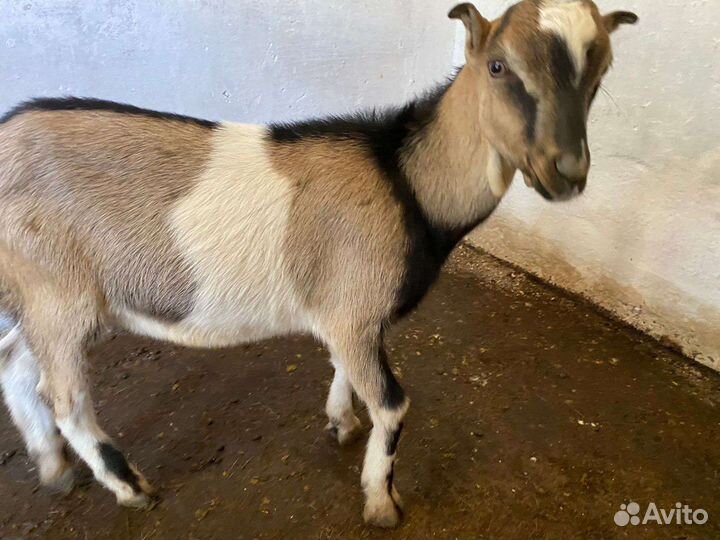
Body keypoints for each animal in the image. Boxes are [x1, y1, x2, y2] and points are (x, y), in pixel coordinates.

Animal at [0, 0, 637, 528]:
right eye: (499, 66)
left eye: (601, 76)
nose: (566, 171)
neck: (404, 179)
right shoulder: (353, 307)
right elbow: (393, 404)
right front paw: (382, 502)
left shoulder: (347, 311)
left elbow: (342, 366)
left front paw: (342, 422)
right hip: (58, 293)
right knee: (66, 398)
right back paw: (131, 488)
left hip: (40, 298)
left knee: (16, 365)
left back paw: (55, 469)